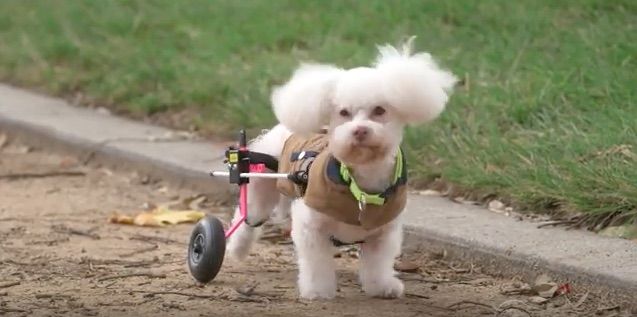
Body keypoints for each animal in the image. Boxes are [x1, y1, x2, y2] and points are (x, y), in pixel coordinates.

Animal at [226, 39, 454, 298]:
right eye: (344, 112)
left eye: (379, 110)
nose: (360, 130)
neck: (361, 186)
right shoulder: (311, 227)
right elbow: (316, 263)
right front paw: (318, 291)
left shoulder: (383, 234)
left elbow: (377, 263)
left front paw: (381, 286)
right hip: (261, 183)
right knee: (247, 217)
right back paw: (237, 248)